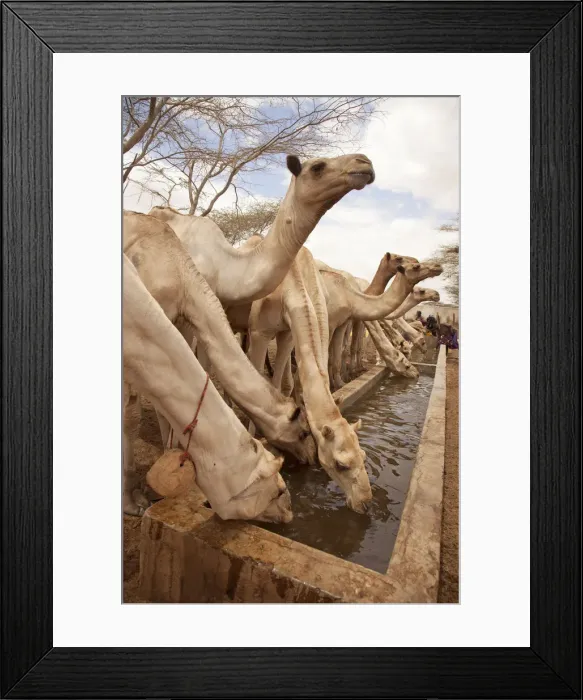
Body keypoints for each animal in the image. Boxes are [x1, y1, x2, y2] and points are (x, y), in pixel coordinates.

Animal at [246, 246, 373, 514]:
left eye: (365, 457)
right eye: (341, 464)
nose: (365, 504)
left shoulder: (287, 332)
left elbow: (281, 384)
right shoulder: (259, 331)